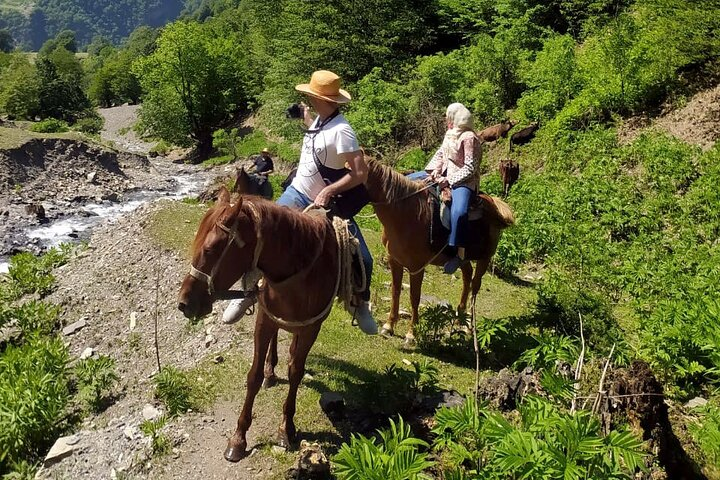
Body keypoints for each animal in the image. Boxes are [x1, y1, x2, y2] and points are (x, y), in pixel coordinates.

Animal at [177, 187, 340, 462]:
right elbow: (253, 376)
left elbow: (296, 372)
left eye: (211, 249)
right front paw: (238, 438)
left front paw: (286, 428)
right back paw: (270, 371)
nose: (184, 303)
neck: (298, 274)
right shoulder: (264, 321)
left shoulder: (311, 329)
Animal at [366, 160, 512, 344]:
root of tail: (494, 203)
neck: (405, 213)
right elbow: (395, 291)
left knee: (475, 285)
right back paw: (460, 317)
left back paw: (469, 327)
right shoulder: (394, 261)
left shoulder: (416, 267)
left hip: (485, 257)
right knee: (467, 276)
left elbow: (414, 297)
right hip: (462, 258)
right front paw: (389, 326)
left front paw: (411, 334)